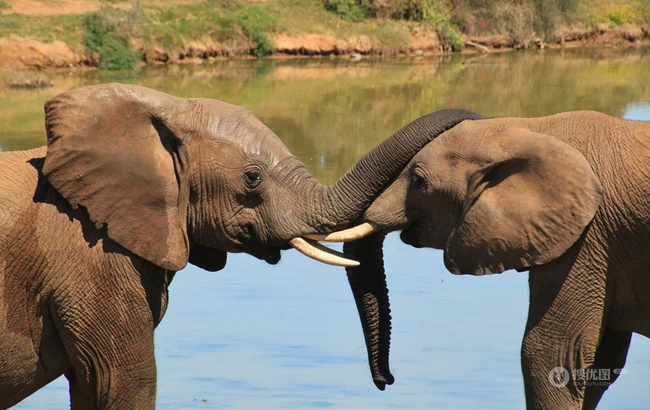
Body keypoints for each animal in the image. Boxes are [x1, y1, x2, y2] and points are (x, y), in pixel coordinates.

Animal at [310, 110, 650, 409]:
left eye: (418, 182)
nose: (387, 381)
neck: (532, 129)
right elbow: (599, 362)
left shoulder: (587, 239)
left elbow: (549, 353)